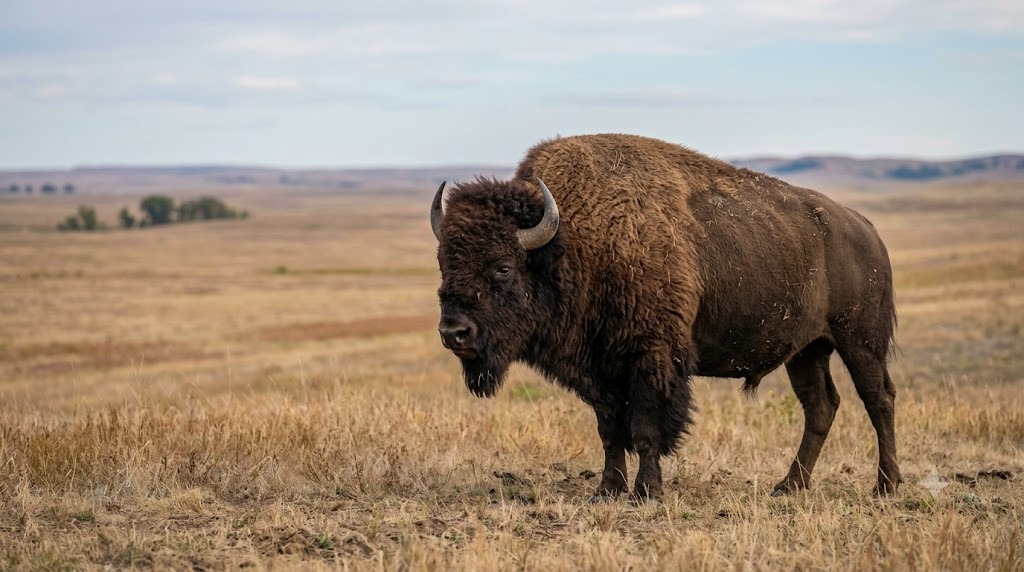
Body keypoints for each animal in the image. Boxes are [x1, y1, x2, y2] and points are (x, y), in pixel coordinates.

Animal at [430, 134, 900, 502]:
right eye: (444, 262)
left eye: (503, 267)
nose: (454, 332)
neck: (572, 243)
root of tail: (867, 229)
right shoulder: (600, 370)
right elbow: (609, 431)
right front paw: (606, 491)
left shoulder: (652, 360)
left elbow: (645, 429)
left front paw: (647, 493)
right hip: (806, 351)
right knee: (820, 406)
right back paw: (789, 486)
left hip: (860, 341)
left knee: (878, 400)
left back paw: (885, 486)